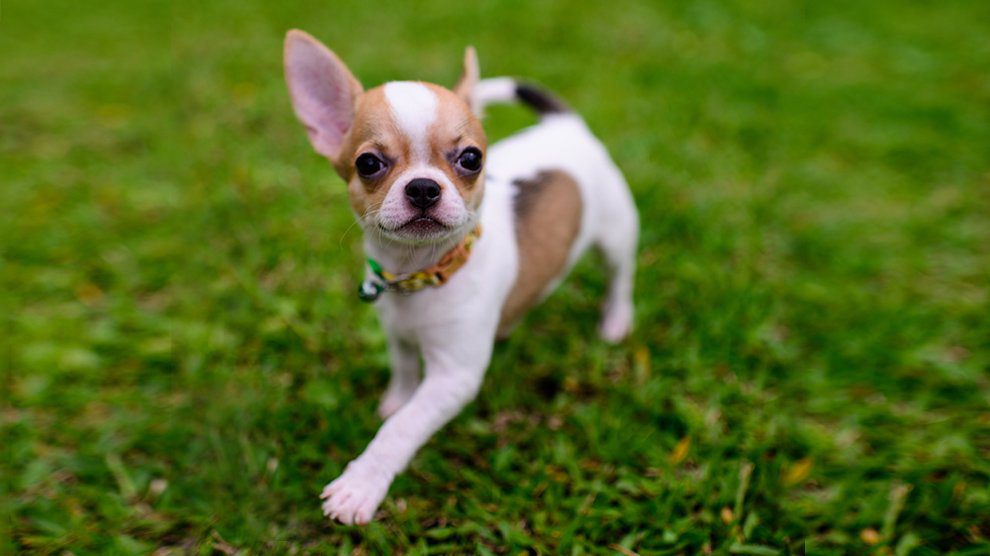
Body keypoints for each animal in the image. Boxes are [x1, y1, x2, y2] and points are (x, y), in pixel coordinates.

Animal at [284, 30, 644, 524]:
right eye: (368, 164)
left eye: (471, 158)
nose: (423, 187)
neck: (420, 275)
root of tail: (565, 124)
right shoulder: (396, 332)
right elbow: (403, 368)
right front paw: (396, 397)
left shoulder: (454, 376)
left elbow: (403, 428)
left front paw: (362, 484)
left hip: (616, 233)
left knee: (619, 276)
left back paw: (615, 320)